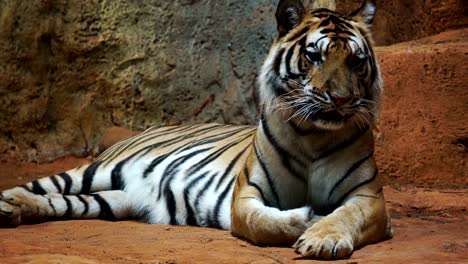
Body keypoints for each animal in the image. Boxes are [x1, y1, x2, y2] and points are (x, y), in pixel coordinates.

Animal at [0, 0, 392, 260]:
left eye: (356, 61)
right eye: (314, 56)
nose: (340, 99)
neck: (314, 135)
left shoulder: (369, 197)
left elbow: (346, 214)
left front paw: (323, 237)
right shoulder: (245, 196)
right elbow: (266, 222)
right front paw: (309, 218)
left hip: (112, 200)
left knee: (60, 201)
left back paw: (14, 211)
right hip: (97, 170)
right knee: (40, 185)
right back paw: (8, 204)